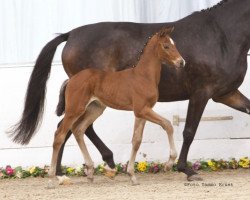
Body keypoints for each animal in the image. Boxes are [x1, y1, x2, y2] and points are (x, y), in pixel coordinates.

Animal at [49, 27, 185, 185]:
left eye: (174, 44)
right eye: (166, 46)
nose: (181, 62)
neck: (144, 76)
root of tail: (70, 80)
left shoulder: (142, 112)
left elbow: (136, 140)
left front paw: (132, 175)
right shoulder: (142, 110)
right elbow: (167, 125)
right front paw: (168, 164)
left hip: (95, 109)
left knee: (78, 129)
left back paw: (90, 171)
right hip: (74, 109)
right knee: (60, 134)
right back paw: (52, 177)